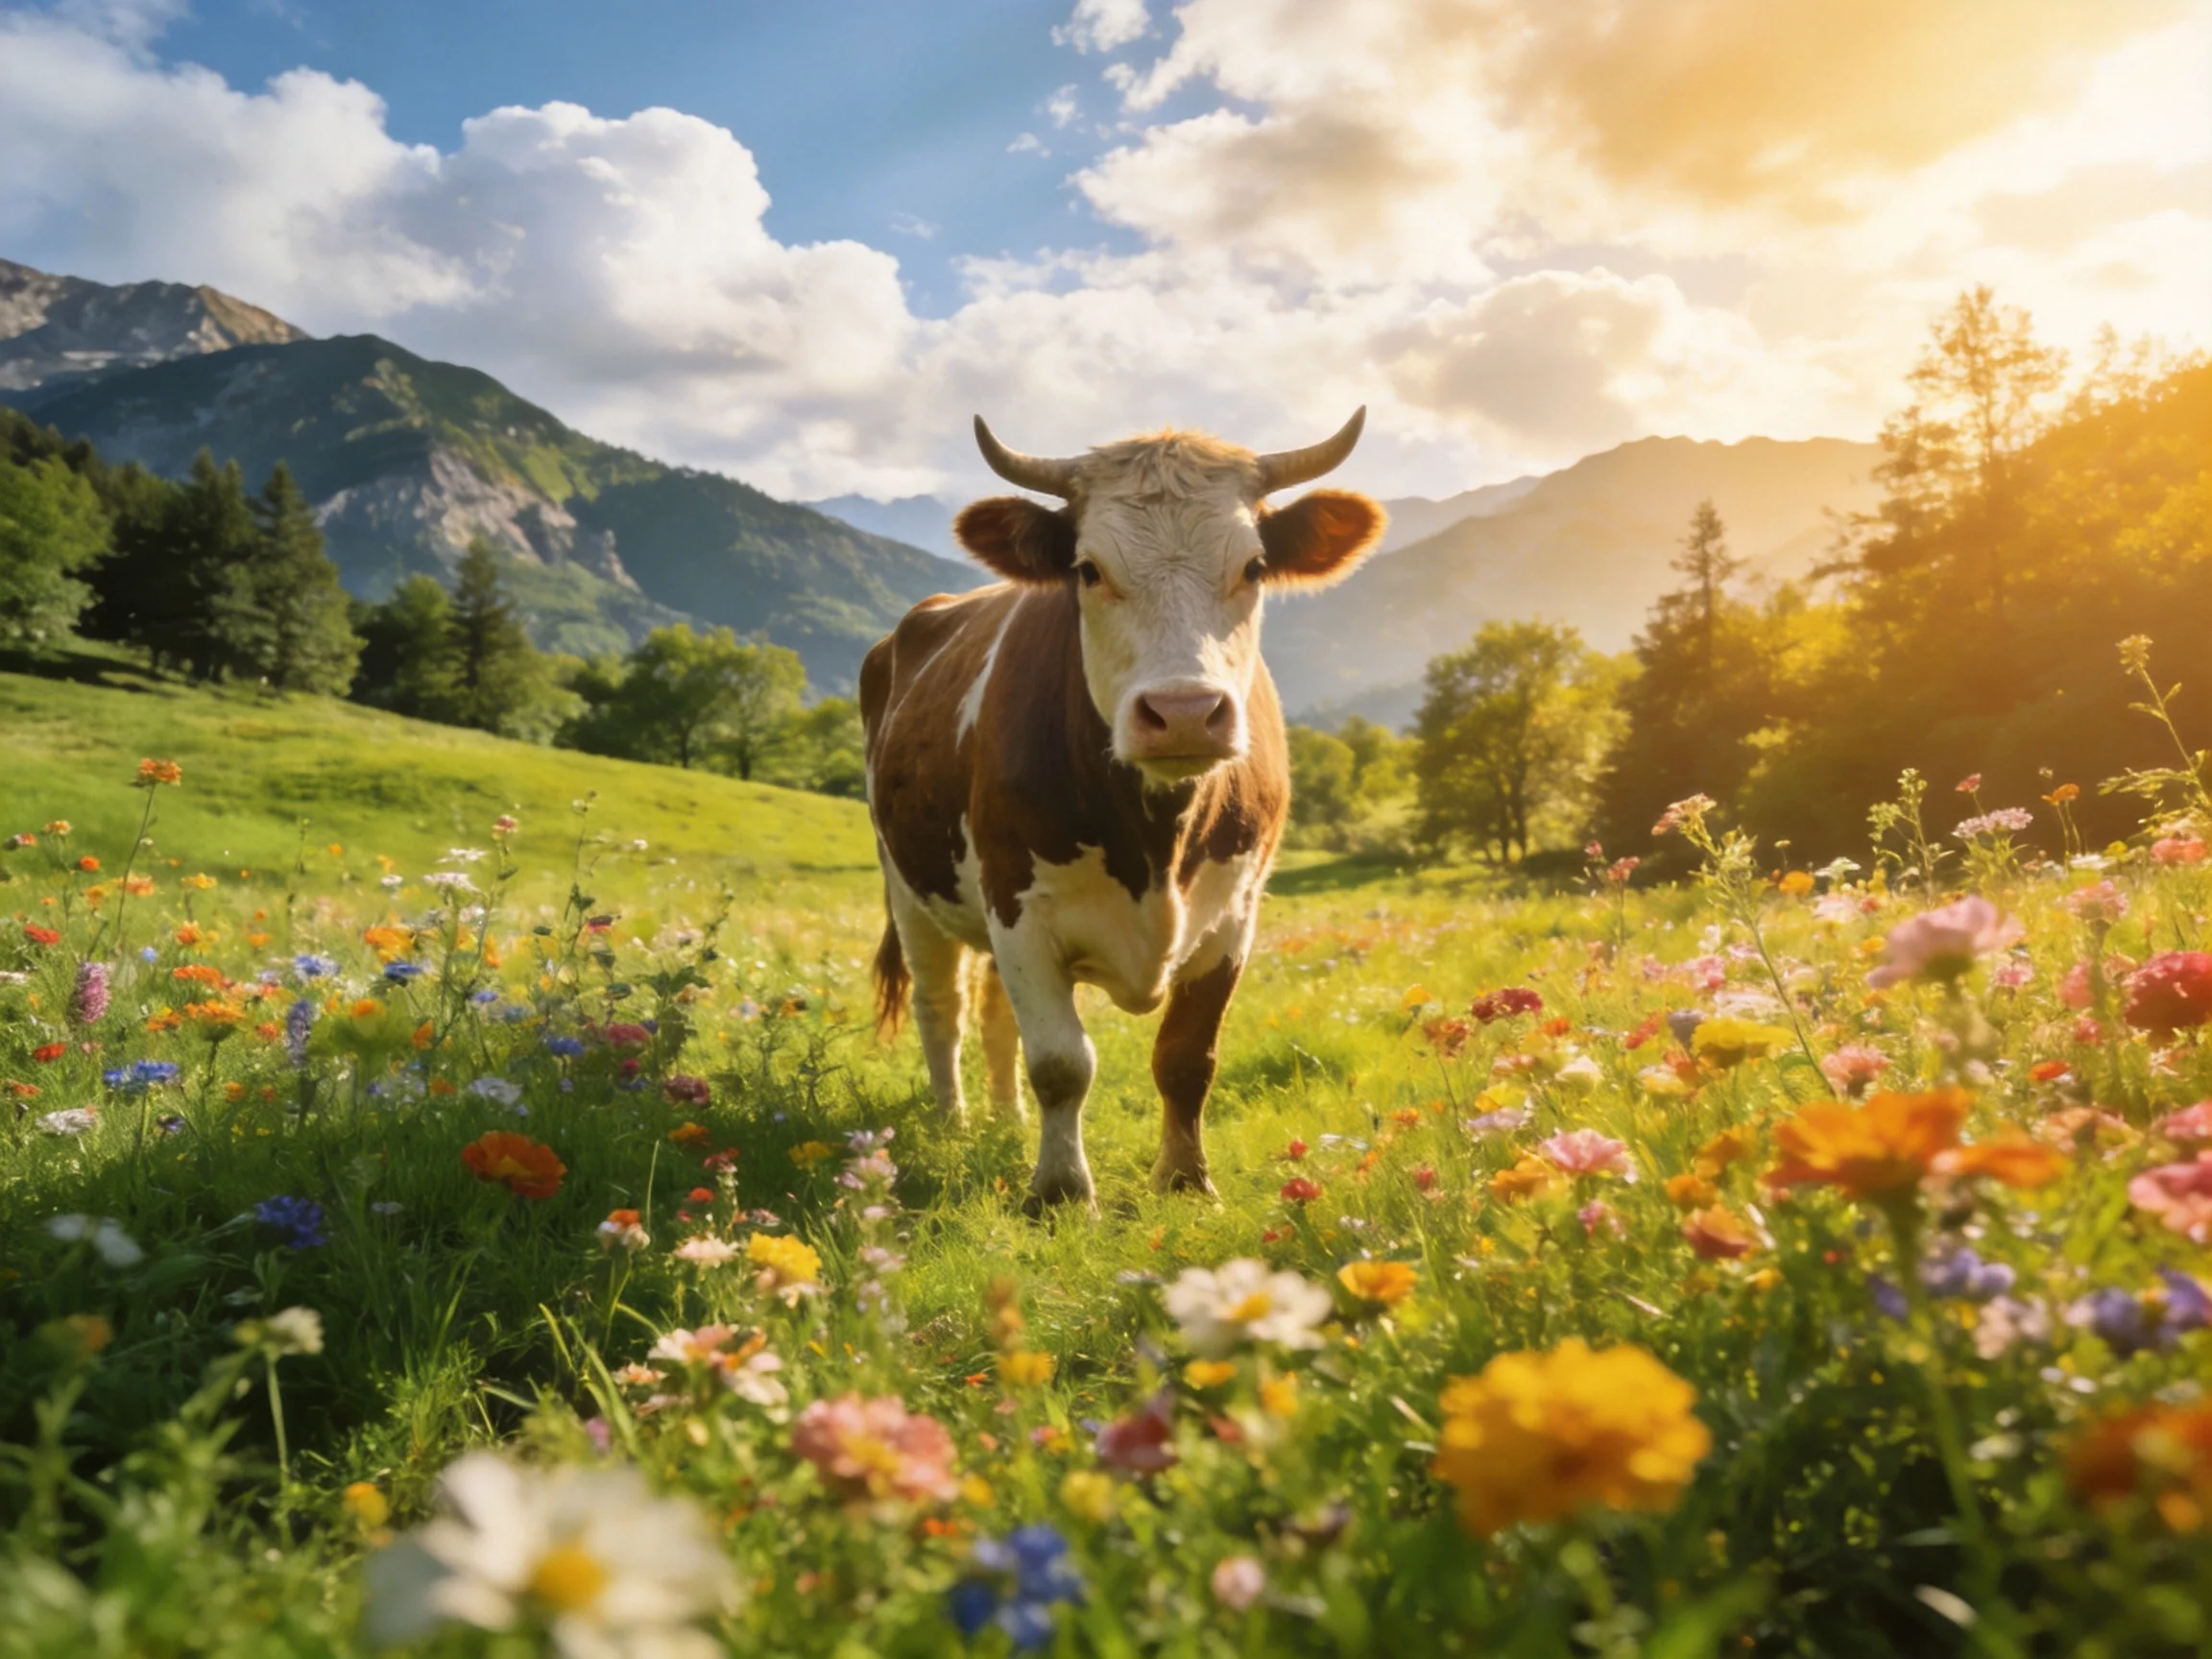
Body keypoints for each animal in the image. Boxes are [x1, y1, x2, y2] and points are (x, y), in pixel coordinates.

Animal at [860, 410, 1385, 1212]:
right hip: (908, 887)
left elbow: (1187, 1058)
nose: (1184, 712)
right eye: (1088, 569)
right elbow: (1062, 1062)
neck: (1156, 841)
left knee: (994, 1016)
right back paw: (953, 1122)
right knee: (941, 1007)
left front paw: (1186, 1181)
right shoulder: (1018, 903)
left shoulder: (1234, 913)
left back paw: (1006, 1120)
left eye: (1255, 567)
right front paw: (1060, 1194)